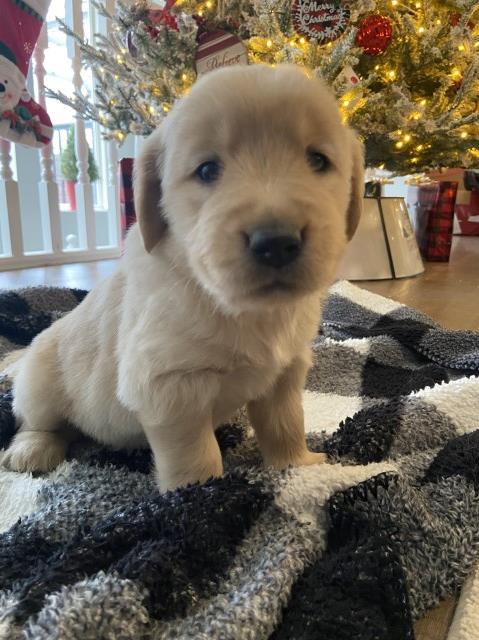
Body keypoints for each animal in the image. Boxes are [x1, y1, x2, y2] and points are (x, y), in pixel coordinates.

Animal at [0, 65, 364, 492]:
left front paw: (298, 466)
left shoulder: (286, 371)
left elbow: (285, 422)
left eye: (318, 160)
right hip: (41, 379)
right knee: (36, 421)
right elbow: (194, 452)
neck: (244, 309)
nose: (275, 242)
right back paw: (32, 449)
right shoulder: (168, 384)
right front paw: (199, 495)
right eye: (207, 170)